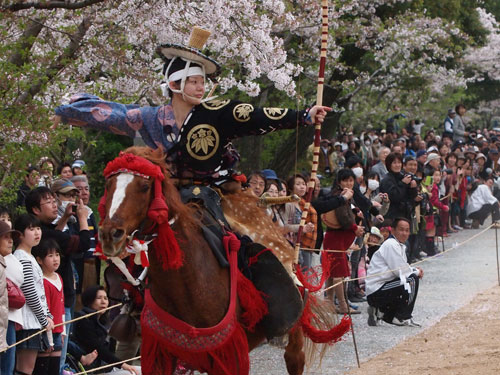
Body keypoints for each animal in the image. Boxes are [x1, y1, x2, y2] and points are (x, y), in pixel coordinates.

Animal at [98, 146, 310, 375]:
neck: (186, 280)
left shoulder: (230, 354)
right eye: (109, 185)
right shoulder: (159, 353)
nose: (110, 234)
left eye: (145, 186)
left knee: (294, 358)